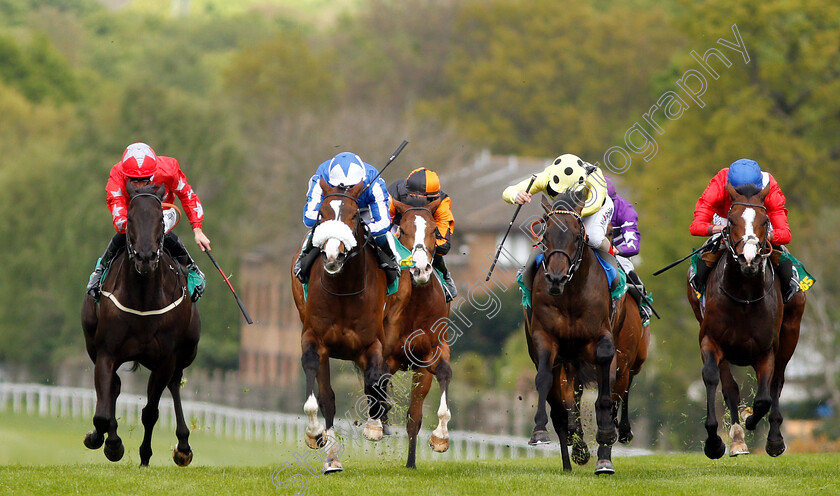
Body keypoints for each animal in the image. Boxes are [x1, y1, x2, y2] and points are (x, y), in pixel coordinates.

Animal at [80, 181, 202, 464]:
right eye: (131, 218)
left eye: (160, 218)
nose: (146, 257)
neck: (144, 297)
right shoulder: (106, 352)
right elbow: (102, 414)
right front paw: (107, 441)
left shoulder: (165, 359)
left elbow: (150, 412)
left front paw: (145, 455)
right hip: (94, 344)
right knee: (114, 387)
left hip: (186, 351)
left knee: (174, 383)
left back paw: (183, 446)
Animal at [292, 178, 390, 472]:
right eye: (321, 215)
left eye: (355, 215)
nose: (334, 255)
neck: (344, 289)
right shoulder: (314, 339)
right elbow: (322, 397)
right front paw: (316, 436)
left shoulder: (372, 343)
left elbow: (374, 380)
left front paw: (374, 427)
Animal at [384, 198, 452, 468]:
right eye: (402, 231)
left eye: (435, 231)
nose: (421, 269)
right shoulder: (388, 354)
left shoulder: (428, 355)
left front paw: (440, 437)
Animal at [528, 192, 620, 474]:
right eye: (545, 236)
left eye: (577, 237)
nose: (556, 279)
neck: (569, 295)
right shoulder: (544, 337)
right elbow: (543, 378)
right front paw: (539, 431)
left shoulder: (601, 335)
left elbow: (604, 372)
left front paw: (605, 431)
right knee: (562, 408)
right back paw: (570, 456)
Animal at [688, 184, 808, 460]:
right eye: (731, 221)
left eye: (765, 221)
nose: (749, 259)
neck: (744, 296)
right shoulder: (710, 341)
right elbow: (713, 379)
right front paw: (714, 442)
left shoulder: (766, 350)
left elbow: (764, 398)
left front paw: (753, 420)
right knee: (730, 387)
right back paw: (737, 439)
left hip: (791, 335)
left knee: (777, 383)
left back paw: (773, 438)